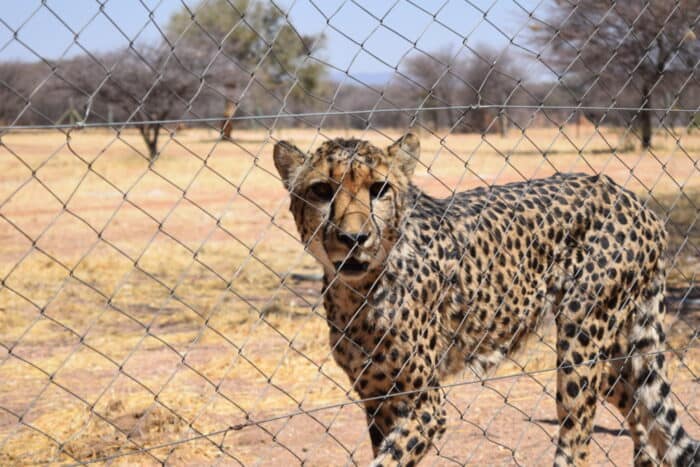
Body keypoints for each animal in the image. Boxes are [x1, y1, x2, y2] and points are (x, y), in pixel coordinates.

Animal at [272, 132, 699, 466]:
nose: (354, 238)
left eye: (379, 190)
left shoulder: (425, 405)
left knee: (579, 440)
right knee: (645, 414)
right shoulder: (378, 399)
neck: (358, 291)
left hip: (582, 340)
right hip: (611, 352)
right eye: (322, 191)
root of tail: (630, 197)